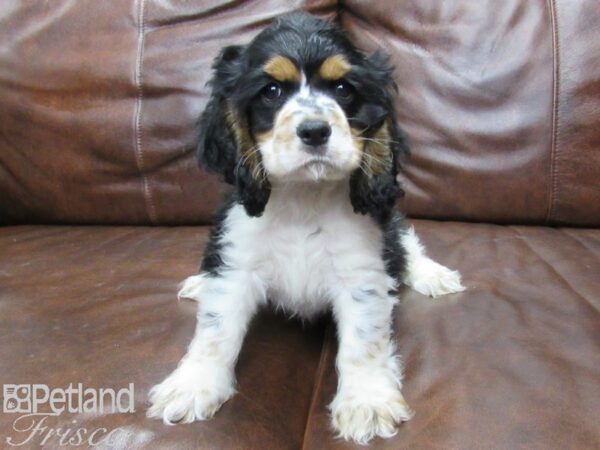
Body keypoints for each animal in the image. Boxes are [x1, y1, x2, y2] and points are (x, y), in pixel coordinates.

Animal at [149, 12, 464, 444]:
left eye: (344, 89)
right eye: (271, 91)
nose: (315, 130)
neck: (303, 198)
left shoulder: (361, 270)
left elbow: (362, 343)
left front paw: (366, 402)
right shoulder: (236, 260)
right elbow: (216, 330)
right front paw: (192, 386)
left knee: (405, 243)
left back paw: (433, 275)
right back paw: (199, 283)